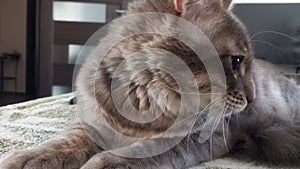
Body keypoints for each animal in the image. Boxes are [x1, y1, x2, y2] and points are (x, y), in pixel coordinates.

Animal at [0, 0, 300, 169]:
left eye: (245, 61)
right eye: (236, 61)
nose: (252, 96)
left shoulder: (203, 136)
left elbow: (141, 152)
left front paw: (105, 162)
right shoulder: (91, 123)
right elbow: (60, 143)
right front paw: (27, 157)